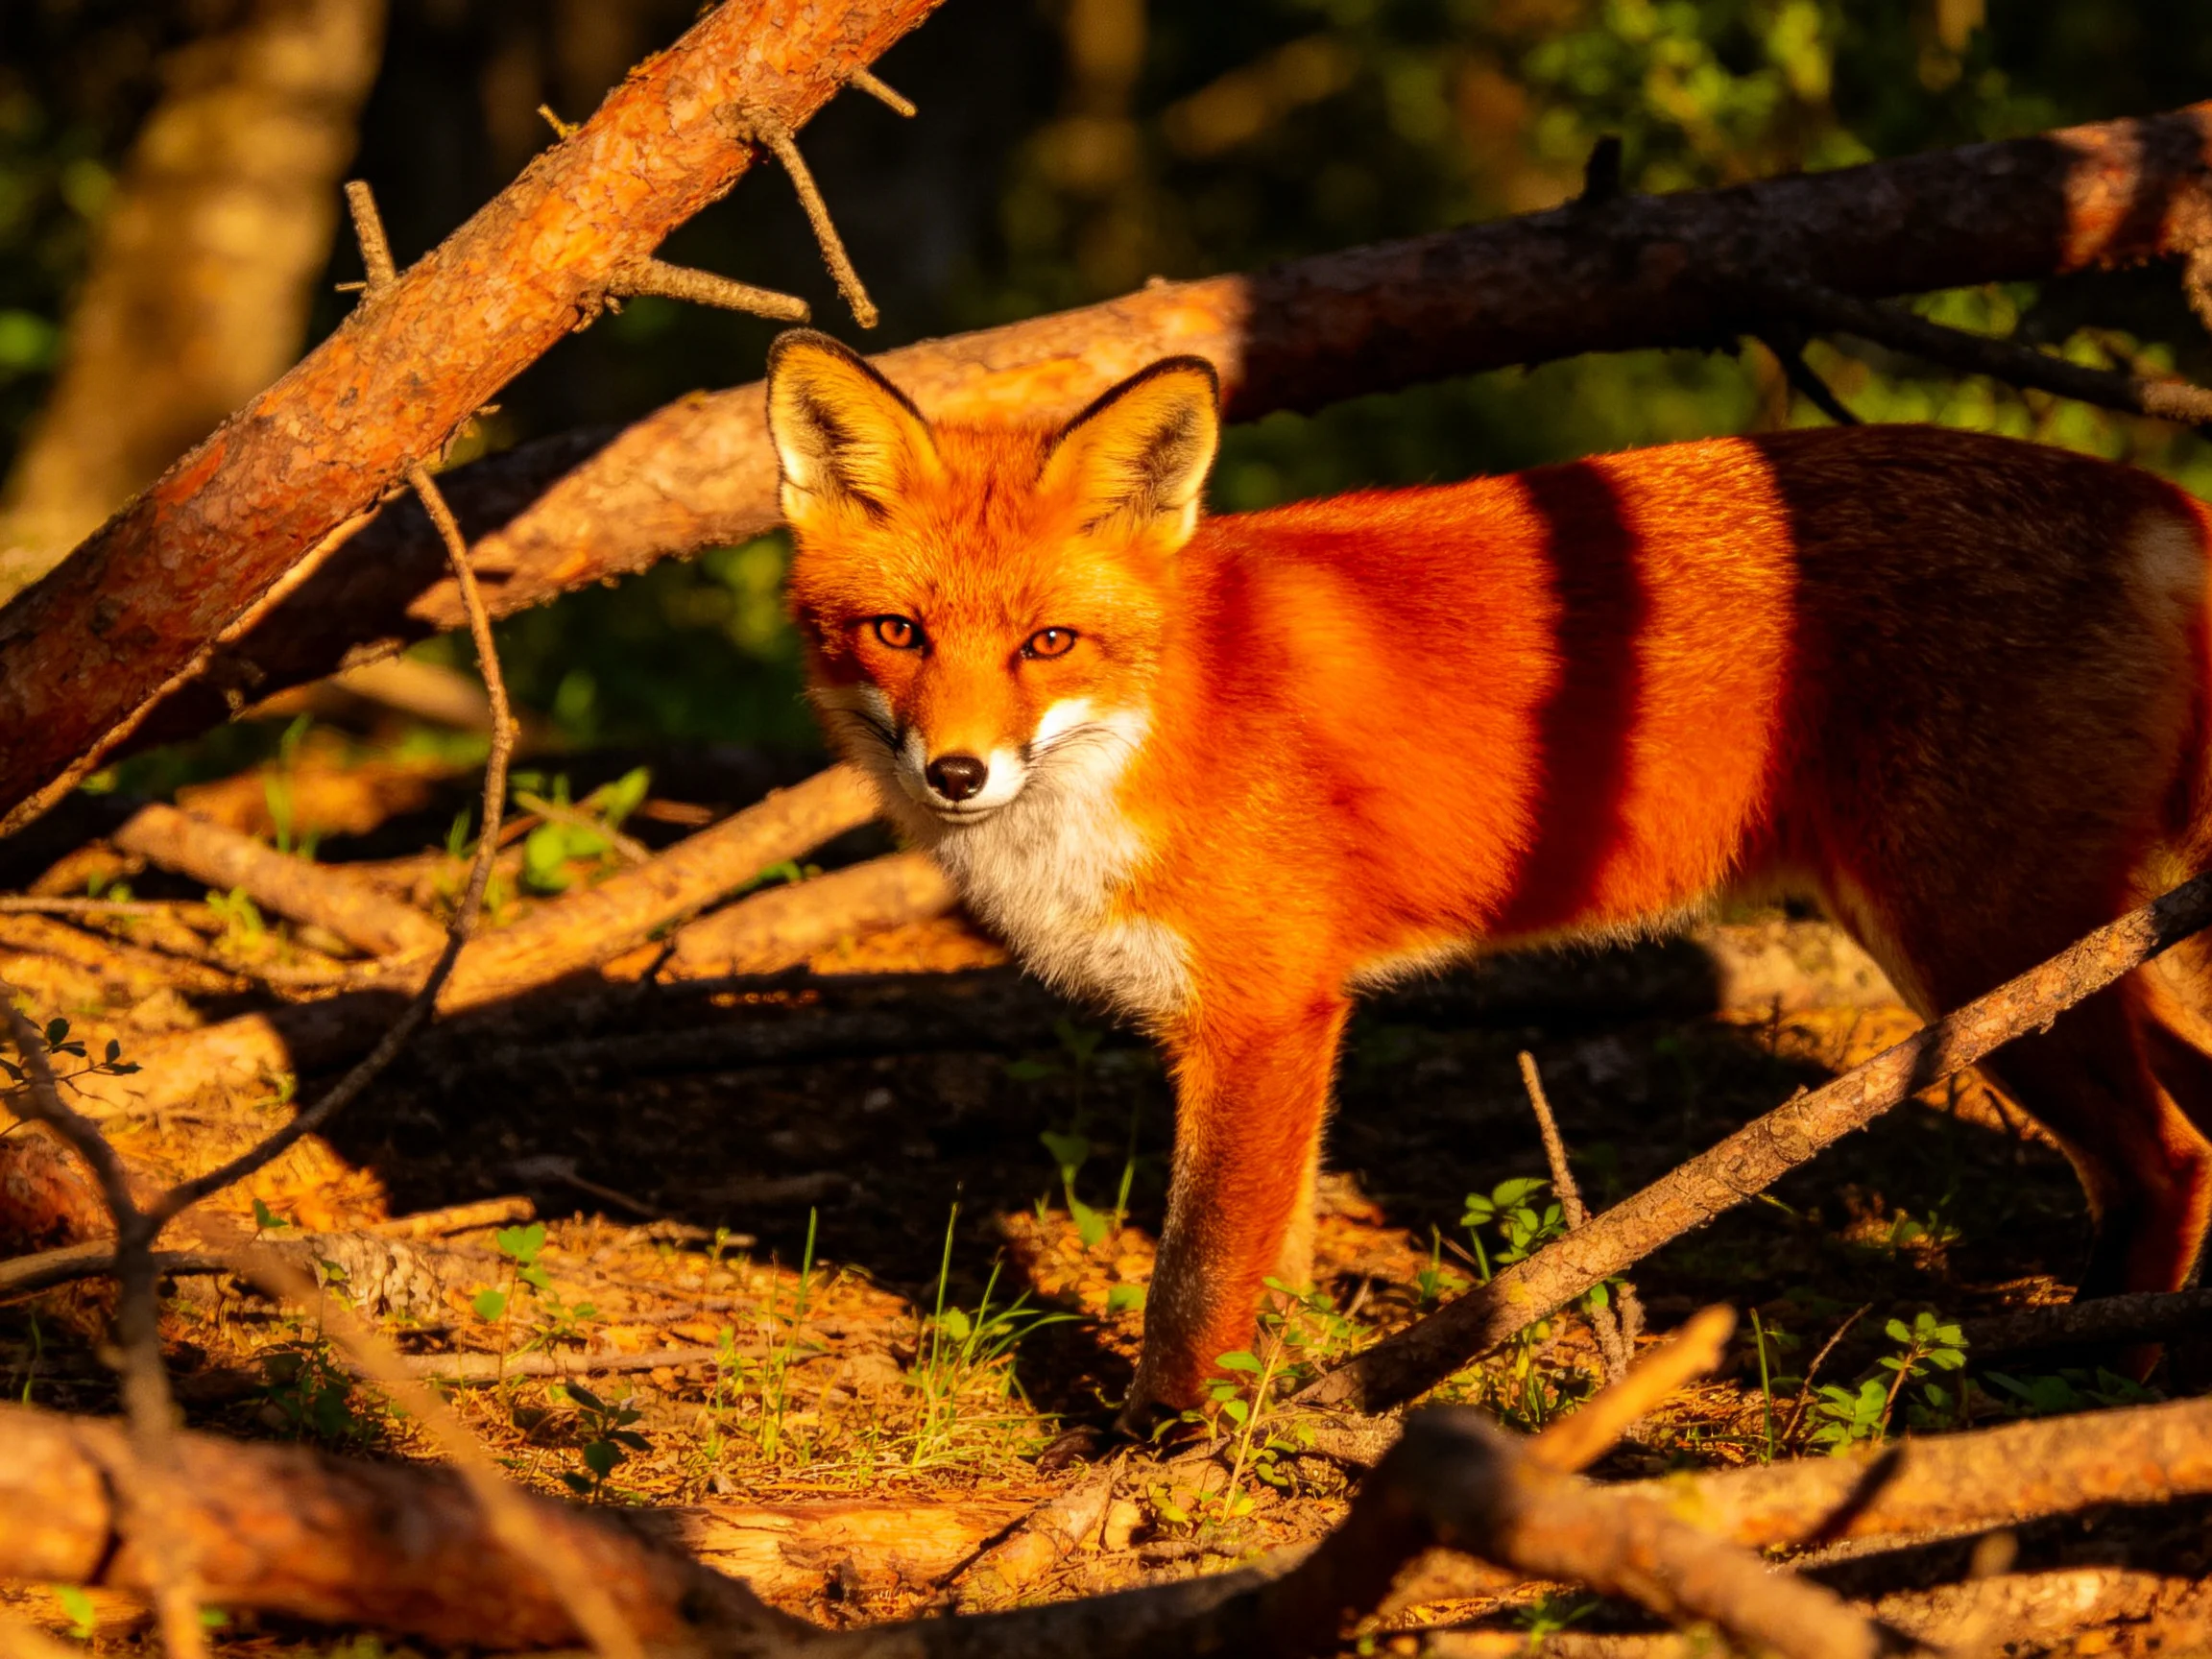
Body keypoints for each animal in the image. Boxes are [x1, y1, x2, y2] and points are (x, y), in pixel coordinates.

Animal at [763, 326, 2212, 1430]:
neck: (1155, 726)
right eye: (897, 633)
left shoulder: (1263, 1015)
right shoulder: (1292, 1029)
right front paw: (1276, 1415)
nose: (957, 773)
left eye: (1049, 643)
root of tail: (2148, 492)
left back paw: (2088, 1379)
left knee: (2165, 1161)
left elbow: (1196, 1281)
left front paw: (1159, 1454)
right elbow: (1272, 1264)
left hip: (1983, 956)